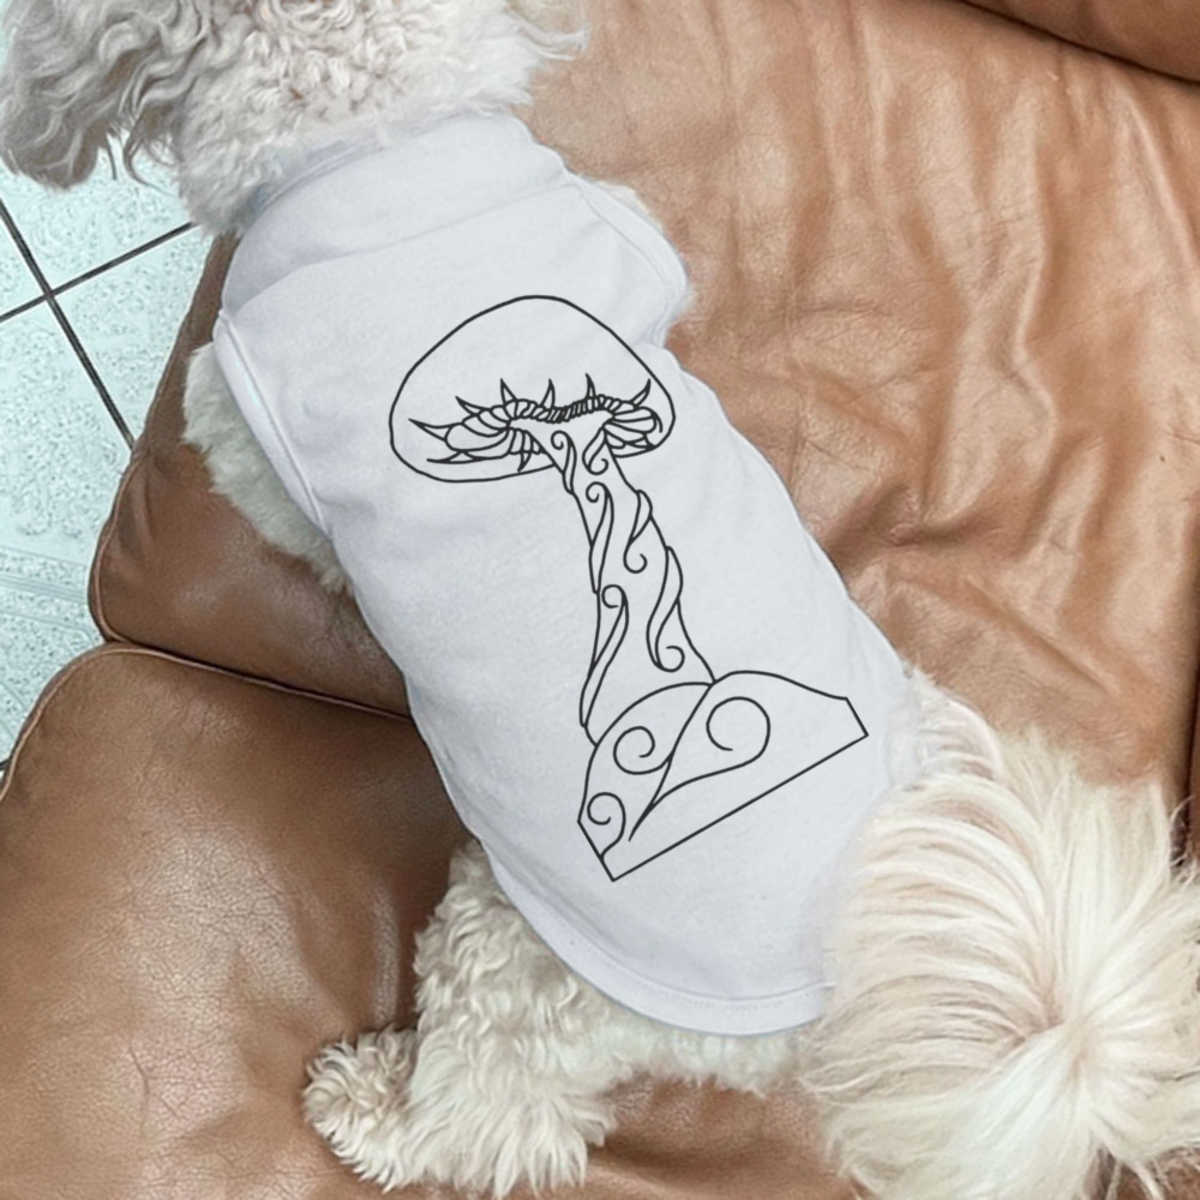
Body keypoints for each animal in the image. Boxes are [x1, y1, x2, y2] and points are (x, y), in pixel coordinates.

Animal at [4, 3, 1200, 1198]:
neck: (380, 125)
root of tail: (852, 983)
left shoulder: (238, 415)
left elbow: (282, 500)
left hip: (518, 954)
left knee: (497, 1120)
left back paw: (371, 1106)